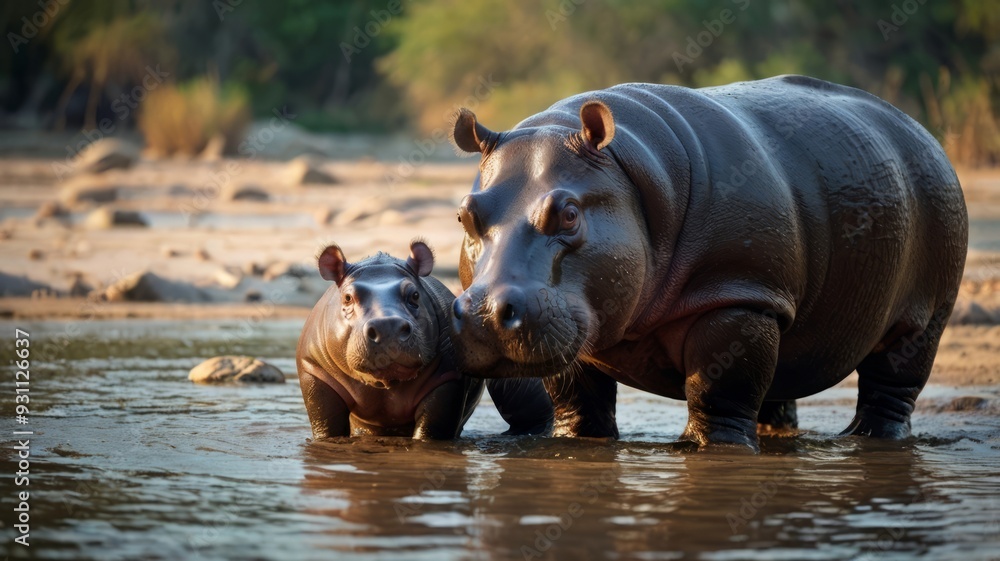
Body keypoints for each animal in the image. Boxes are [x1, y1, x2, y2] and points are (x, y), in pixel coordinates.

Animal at [297, 240, 553, 440]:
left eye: (415, 294)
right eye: (348, 297)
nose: (387, 326)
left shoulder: (447, 377)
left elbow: (431, 429)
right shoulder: (315, 371)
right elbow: (327, 427)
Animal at [448, 75, 968, 450]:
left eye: (571, 214)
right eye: (465, 215)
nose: (485, 314)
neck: (630, 174)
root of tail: (921, 131)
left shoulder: (738, 294)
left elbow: (717, 387)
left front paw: (707, 449)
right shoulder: (578, 322)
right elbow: (577, 399)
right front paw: (578, 444)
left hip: (926, 306)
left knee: (895, 375)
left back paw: (868, 440)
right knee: (781, 378)